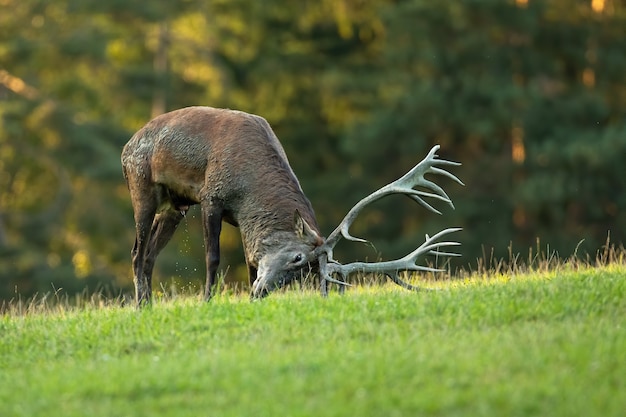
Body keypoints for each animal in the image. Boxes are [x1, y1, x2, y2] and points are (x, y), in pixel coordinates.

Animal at [120, 105, 458, 304]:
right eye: (297, 258)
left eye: (303, 275)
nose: (263, 293)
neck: (247, 191)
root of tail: (128, 144)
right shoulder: (211, 196)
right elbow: (213, 257)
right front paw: (207, 301)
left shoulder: (242, 223)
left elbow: (250, 264)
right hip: (142, 185)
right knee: (137, 250)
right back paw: (140, 306)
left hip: (175, 206)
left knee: (150, 254)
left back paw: (148, 303)